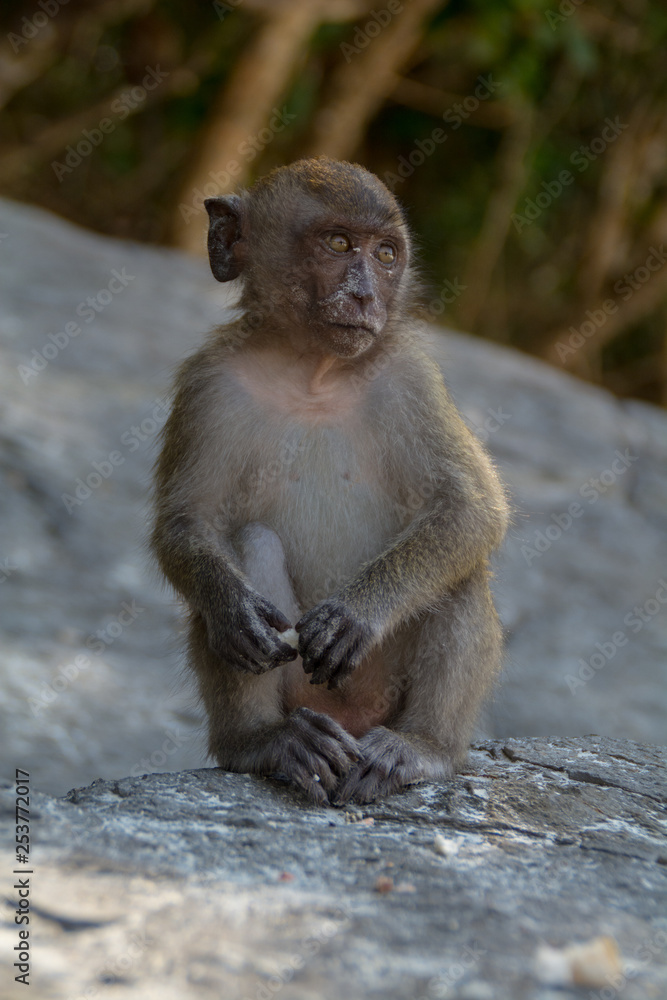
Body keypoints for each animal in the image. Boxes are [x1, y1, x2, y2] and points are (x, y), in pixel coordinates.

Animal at [151, 156, 509, 806]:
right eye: (339, 244)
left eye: (387, 254)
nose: (366, 293)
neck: (311, 372)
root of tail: (350, 722)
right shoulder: (207, 385)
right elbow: (187, 522)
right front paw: (231, 608)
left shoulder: (411, 378)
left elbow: (471, 508)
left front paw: (356, 614)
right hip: (302, 688)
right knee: (249, 542)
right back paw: (266, 742)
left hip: (378, 687)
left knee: (460, 572)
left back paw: (422, 748)